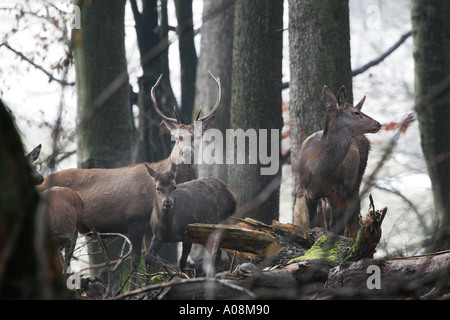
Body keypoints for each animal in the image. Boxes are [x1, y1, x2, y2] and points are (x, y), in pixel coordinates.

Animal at [38, 71, 220, 284]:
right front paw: (133, 287)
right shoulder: (135, 218)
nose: (187, 152)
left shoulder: (151, 226)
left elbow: (151, 260)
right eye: (178, 137)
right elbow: (135, 260)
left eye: (198, 136)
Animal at [298, 85, 382, 238]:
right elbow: (312, 223)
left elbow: (336, 225)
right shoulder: (307, 192)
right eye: (356, 112)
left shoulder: (337, 189)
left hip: (356, 180)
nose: (378, 124)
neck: (318, 170)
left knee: (352, 213)